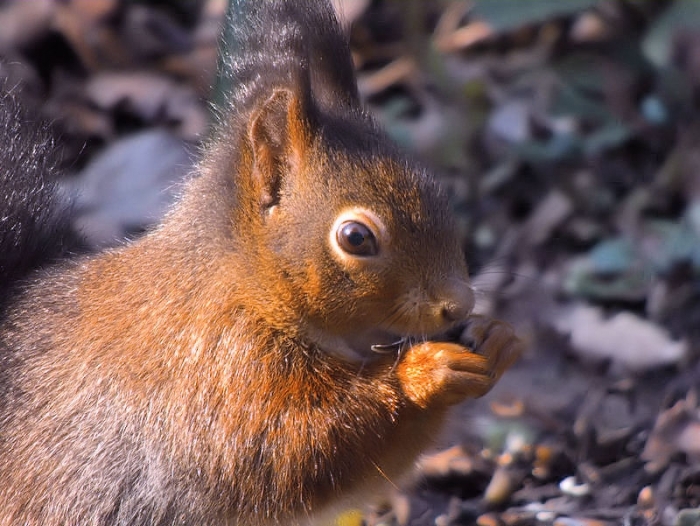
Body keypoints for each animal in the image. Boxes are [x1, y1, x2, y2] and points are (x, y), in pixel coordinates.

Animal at [0, 1, 522, 525]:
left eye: (437, 190)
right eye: (356, 238)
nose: (458, 304)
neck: (249, 285)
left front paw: (497, 337)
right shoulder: (215, 368)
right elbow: (281, 448)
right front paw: (425, 372)